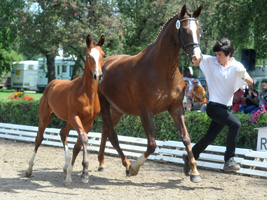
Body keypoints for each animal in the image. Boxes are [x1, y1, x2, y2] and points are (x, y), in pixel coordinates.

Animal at [25, 34, 104, 186]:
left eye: (103, 54)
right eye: (88, 55)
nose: (98, 76)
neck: (87, 94)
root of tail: (52, 84)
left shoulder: (88, 122)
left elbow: (79, 145)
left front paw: (74, 174)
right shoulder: (75, 117)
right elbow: (83, 138)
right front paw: (83, 173)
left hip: (68, 121)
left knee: (62, 133)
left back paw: (66, 167)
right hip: (45, 117)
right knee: (39, 139)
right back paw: (29, 170)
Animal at [98, 4, 203, 183]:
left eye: (199, 29)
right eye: (184, 30)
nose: (197, 58)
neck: (162, 70)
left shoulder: (176, 109)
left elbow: (186, 138)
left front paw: (194, 172)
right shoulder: (145, 112)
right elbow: (152, 145)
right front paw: (134, 167)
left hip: (117, 110)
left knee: (105, 131)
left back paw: (102, 163)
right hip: (105, 106)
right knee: (112, 135)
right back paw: (126, 165)